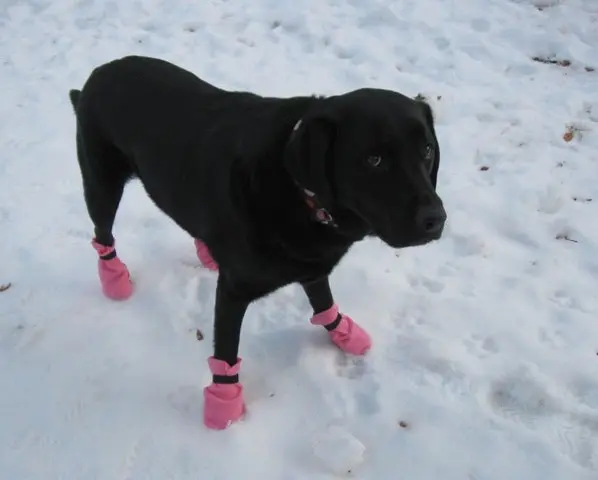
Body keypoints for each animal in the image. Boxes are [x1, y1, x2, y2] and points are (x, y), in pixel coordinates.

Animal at [68, 54, 448, 430]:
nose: (435, 219)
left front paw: (341, 330)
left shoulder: (311, 263)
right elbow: (226, 352)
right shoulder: (233, 290)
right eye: (374, 159)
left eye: (427, 149)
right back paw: (114, 278)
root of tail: (99, 71)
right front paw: (224, 404)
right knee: (102, 234)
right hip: (101, 183)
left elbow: (323, 300)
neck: (300, 193)